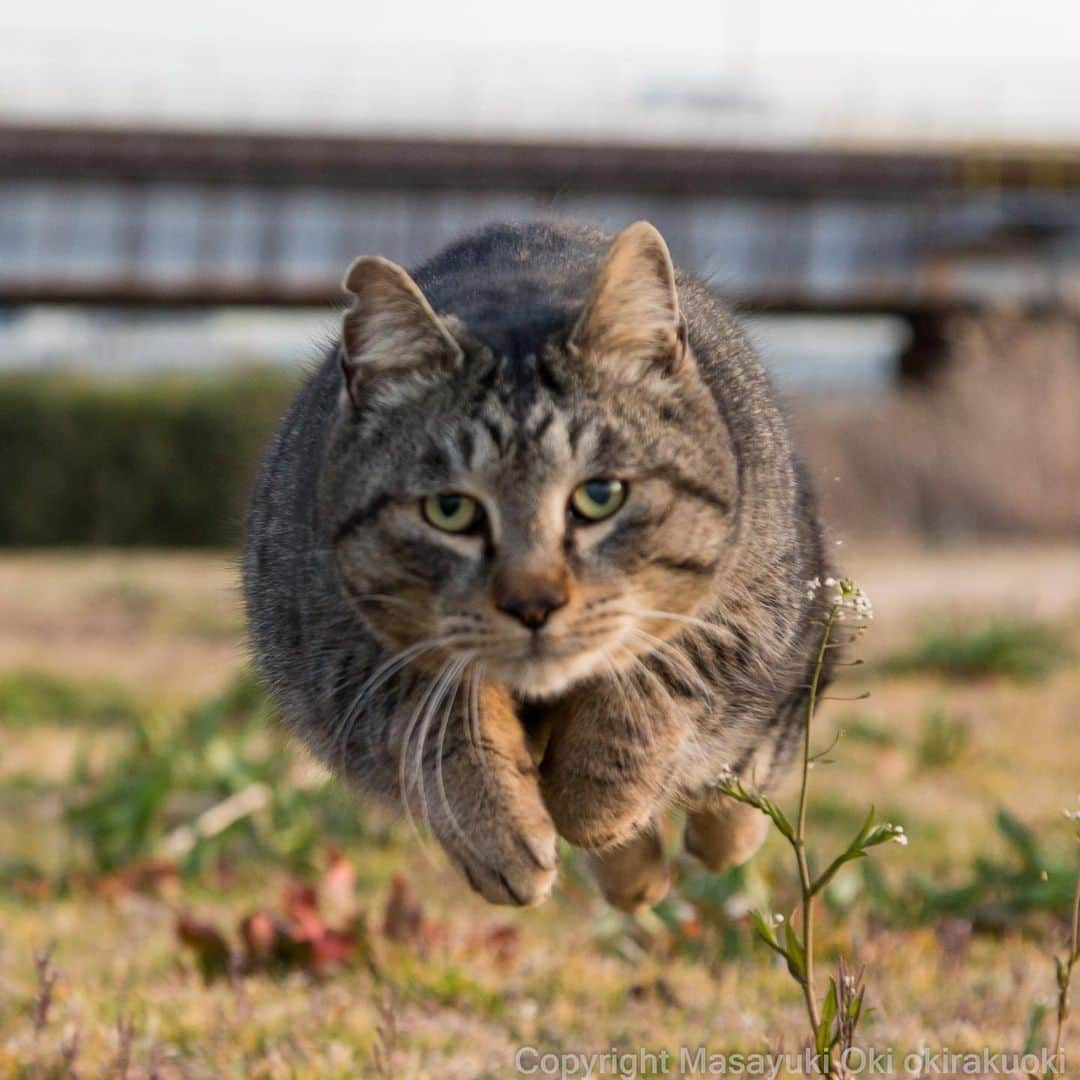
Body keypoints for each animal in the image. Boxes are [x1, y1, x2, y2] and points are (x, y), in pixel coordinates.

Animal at [247, 219, 833, 911]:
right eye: (450, 510)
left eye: (600, 494)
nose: (533, 602)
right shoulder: (337, 650)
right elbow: (438, 718)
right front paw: (495, 828)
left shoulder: (753, 612)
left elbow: (662, 677)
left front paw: (594, 800)